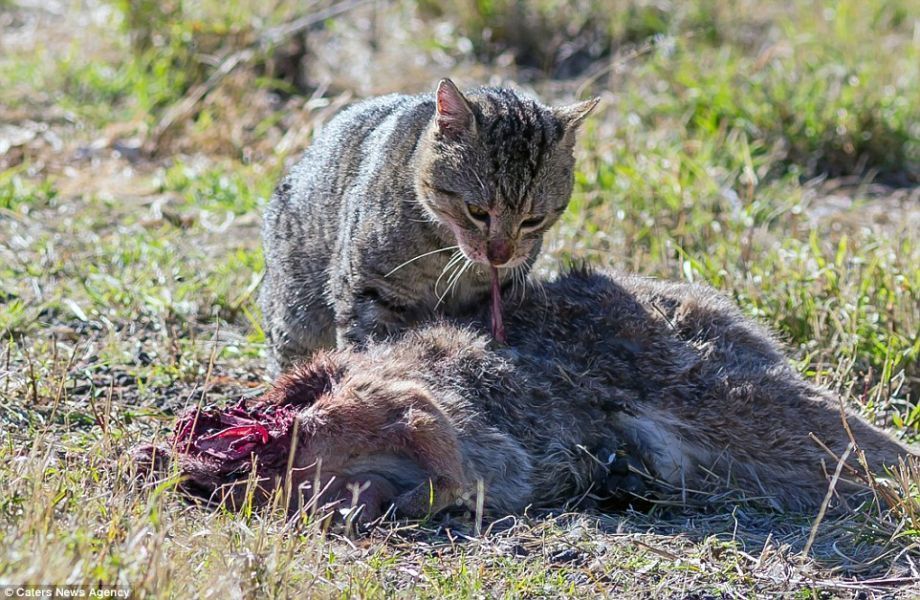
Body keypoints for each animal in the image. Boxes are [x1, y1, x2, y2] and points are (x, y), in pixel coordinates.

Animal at [262, 78, 600, 372]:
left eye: (533, 220)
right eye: (476, 210)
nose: (499, 255)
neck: (447, 255)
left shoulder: (490, 297)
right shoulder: (369, 288)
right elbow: (363, 344)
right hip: (294, 315)